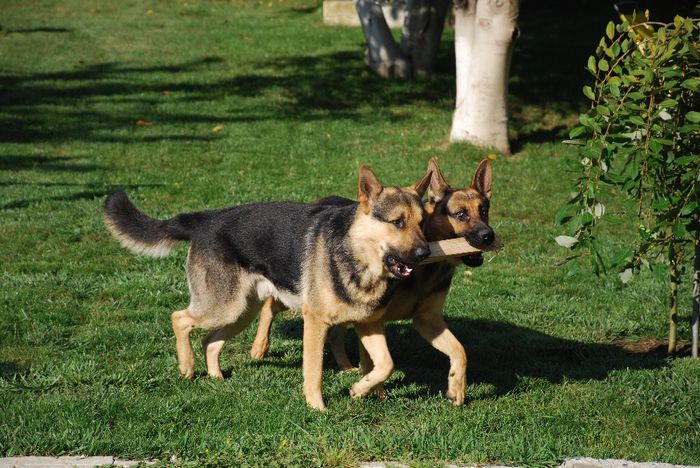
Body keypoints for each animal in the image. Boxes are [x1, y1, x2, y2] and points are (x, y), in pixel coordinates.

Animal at [104, 165, 432, 410]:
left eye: (422, 223)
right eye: (398, 222)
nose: (424, 253)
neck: (357, 255)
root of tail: (205, 219)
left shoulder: (369, 324)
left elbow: (385, 365)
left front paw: (361, 390)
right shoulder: (315, 324)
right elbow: (313, 372)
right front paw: (317, 408)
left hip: (240, 312)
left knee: (210, 340)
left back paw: (216, 377)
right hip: (223, 307)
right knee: (179, 319)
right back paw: (187, 367)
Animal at [249, 158, 494, 406]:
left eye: (484, 211)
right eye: (461, 214)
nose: (488, 236)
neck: (425, 272)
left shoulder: (425, 319)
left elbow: (459, 351)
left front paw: (456, 388)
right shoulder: (371, 318)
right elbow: (377, 364)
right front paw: (369, 390)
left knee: (334, 334)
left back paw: (346, 366)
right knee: (270, 305)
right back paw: (259, 348)